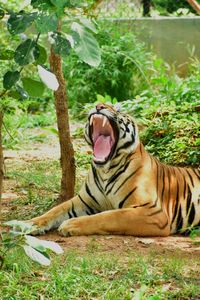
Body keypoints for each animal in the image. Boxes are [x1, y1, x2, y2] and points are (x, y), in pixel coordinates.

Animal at [25, 103, 199, 237]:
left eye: (118, 109)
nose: (99, 105)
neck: (105, 171)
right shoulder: (83, 201)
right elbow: (55, 210)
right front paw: (29, 223)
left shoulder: (152, 212)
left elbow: (110, 216)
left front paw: (70, 224)